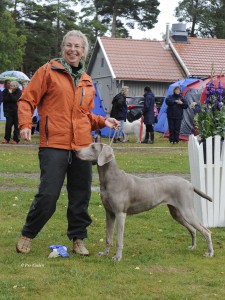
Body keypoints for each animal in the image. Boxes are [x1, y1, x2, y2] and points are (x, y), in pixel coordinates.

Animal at [75, 143, 213, 260]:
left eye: (93, 147)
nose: (76, 151)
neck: (110, 179)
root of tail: (190, 184)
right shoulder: (109, 213)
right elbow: (108, 237)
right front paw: (104, 253)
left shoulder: (120, 214)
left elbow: (119, 239)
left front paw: (117, 257)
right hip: (176, 213)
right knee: (193, 229)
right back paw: (193, 247)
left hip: (187, 210)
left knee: (206, 231)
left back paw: (210, 252)